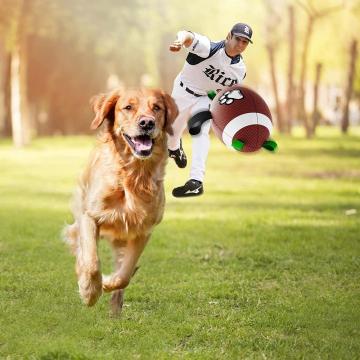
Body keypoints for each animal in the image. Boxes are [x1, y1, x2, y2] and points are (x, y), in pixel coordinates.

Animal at [64, 88, 179, 314]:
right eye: (128, 107)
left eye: (157, 108)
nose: (147, 123)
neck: (133, 175)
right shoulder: (89, 216)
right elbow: (91, 262)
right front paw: (89, 291)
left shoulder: (143, 230)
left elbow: (125, 275)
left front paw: (108, 283)